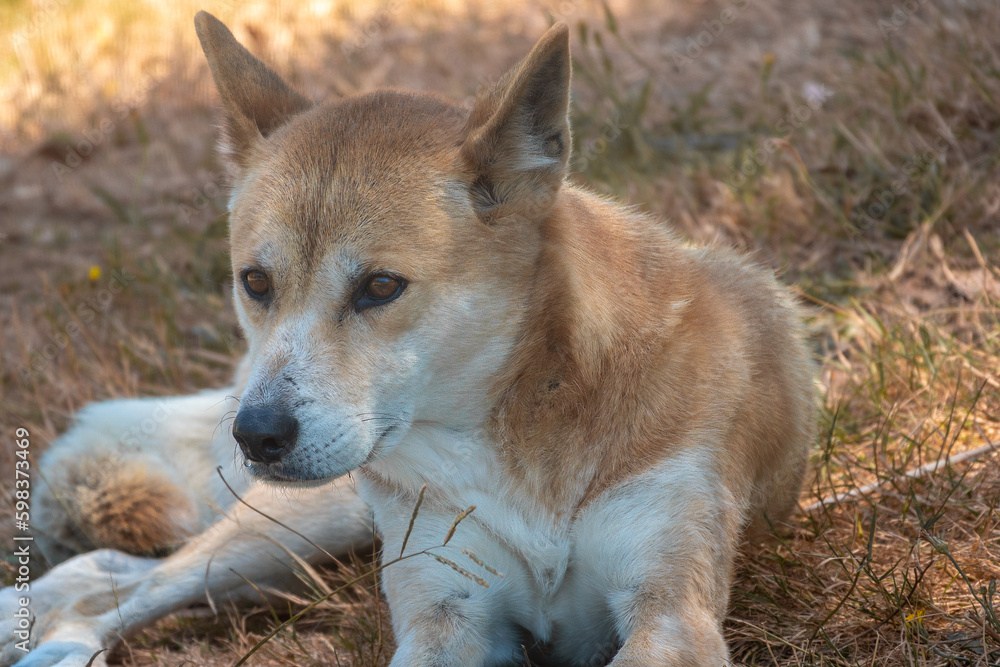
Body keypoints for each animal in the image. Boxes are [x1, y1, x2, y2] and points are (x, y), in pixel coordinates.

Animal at [0, 11, 812, 667]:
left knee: (115, 567)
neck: (520, 430)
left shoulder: (670, 613)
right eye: (256, 282)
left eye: (381, 287)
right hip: (304, 517)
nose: (256, 433)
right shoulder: (447, 618)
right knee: (125, 582)